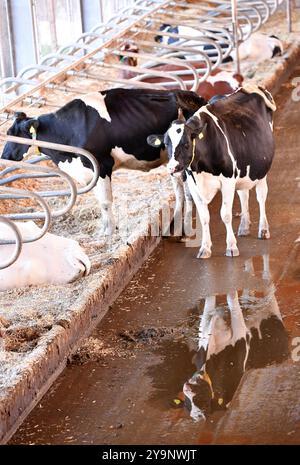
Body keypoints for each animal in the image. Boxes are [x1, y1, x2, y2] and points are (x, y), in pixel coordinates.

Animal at [0, 88, 206, 236]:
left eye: (15, 135)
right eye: (8, 133)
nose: (5, 156)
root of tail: (189, 95)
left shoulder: (102, 166)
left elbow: (106, 202)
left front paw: (109, 232)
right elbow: (101, 202)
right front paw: (106, 229)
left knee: (189, 189)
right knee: (181, 190)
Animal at [146, 85, 276, 260]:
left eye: (186, 144)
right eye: (166, 144)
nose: (172, 168)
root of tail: (249, 88)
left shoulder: (228, 180)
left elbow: (225, 214)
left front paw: (231, 247)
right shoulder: (194, 186)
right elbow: (204, 217)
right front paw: (205, 248)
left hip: (261, 169)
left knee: (261, 197)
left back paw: (263, 229)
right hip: (243, 167)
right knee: (244, 194)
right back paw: (243, 227)